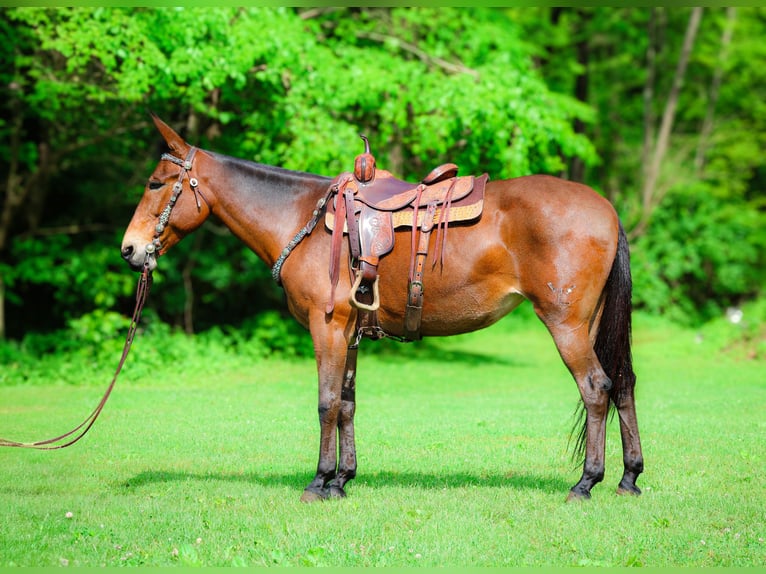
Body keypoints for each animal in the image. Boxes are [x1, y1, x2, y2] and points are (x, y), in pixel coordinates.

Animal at [121, 115, 643, 502]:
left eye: (154, 183)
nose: (129, 249)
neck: (302, 221)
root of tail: (607, 209)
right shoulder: (349, 332)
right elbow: (348, 404)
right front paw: (342, 479)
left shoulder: (327, 327)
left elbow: (326, 402)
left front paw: (318, 482)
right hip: (592, 323)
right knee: (622, 384)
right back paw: (629, 476)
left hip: (566, 324)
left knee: (596, 388)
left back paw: (586, 482)